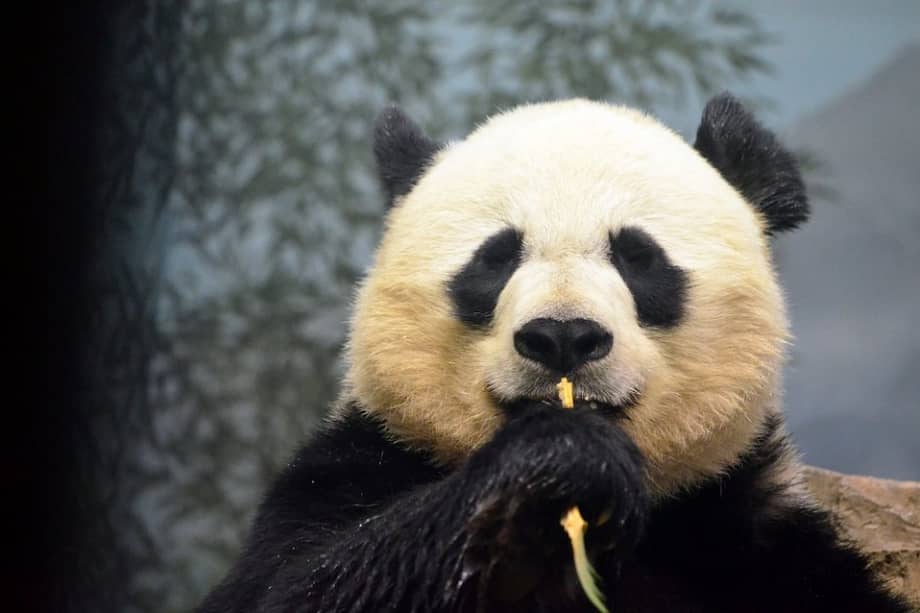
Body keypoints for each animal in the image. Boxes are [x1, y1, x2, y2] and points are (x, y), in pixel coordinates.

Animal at [198, 94, 912, 613]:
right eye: (494, 258)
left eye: (638, 257)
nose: (563, 336)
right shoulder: (359, 465)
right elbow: (299, 586)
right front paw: (562, 459)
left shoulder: (751, 538)